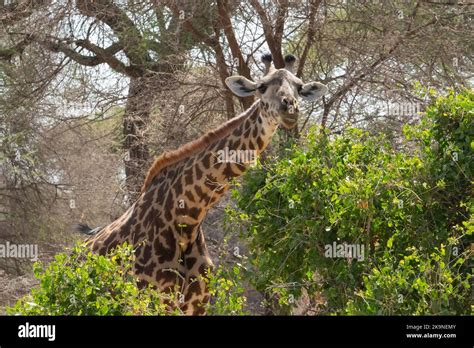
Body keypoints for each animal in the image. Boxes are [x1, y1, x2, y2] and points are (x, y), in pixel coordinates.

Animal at [78, 53, 328, 316]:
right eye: (261, 86)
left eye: (299, 87)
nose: (289, 107)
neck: (187, 218)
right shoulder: (152, 301)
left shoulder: (197, 305)